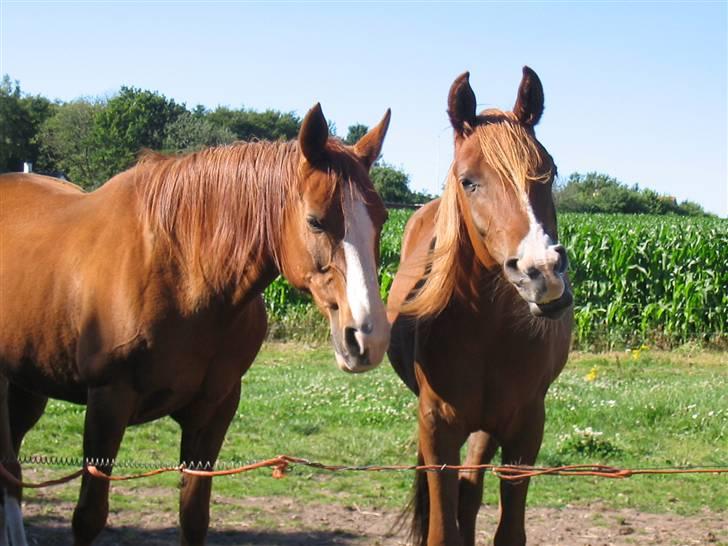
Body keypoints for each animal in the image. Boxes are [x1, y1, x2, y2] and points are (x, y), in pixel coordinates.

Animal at [0, 103, 392, 544]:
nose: (368, 338)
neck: (184, 277)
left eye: (381, 219)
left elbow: (194, 516)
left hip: (28, 385)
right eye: (315, 220)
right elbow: (89, 516)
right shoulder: (107, 403)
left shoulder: (213, 411)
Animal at [390, 69, 572, 544]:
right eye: (469, 180)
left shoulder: (526, 425)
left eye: (549, 172)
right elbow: (442, 527)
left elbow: (507, 528)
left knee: (470, 493)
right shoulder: (437, 425)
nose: (541, 273)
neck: (488, 331)